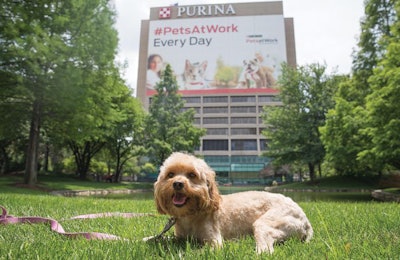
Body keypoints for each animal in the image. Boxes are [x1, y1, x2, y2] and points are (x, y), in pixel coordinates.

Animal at [153, 152, 312, 254]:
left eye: (192, 175)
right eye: (170, 174)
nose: (177, 183)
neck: (191, 214)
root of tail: (304, 218)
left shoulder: (214, 241)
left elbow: (199, 252)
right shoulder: (179, 237)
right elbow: (162, 238)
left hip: (267, 223)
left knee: (266, 249)